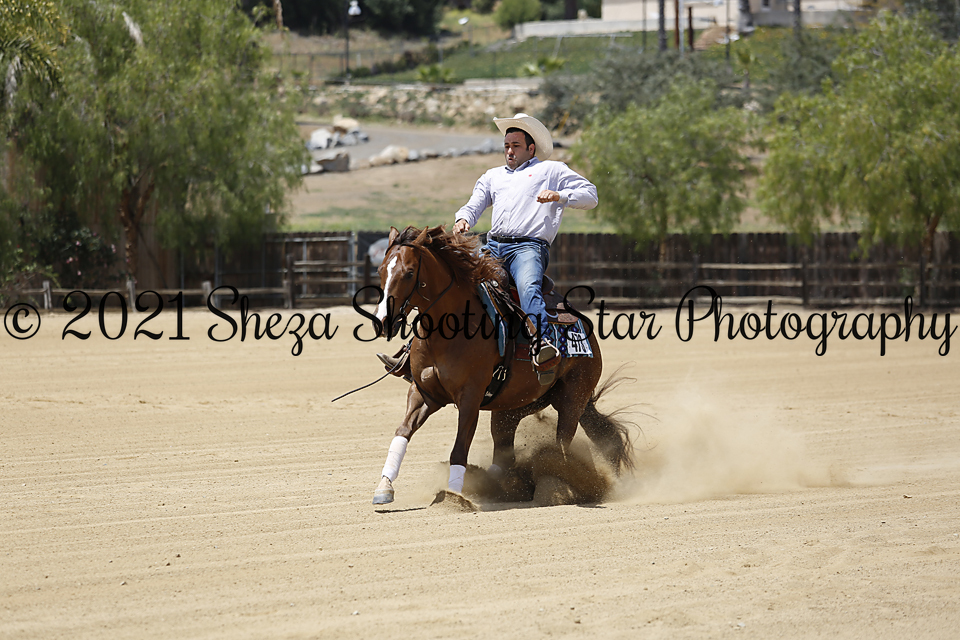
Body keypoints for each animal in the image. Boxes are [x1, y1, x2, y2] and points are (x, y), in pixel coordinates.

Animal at [370, 225, 633, 505]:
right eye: (381, 270)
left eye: (409, 272)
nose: (382, 321)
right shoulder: (424, 393)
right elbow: (402, 432)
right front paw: (384, 488)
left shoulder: (470, 397)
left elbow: (459, 449)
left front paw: (453, 497)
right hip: (515, 407)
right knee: (509, 450)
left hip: (573, 397)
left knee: (562, 448)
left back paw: (561, 487)